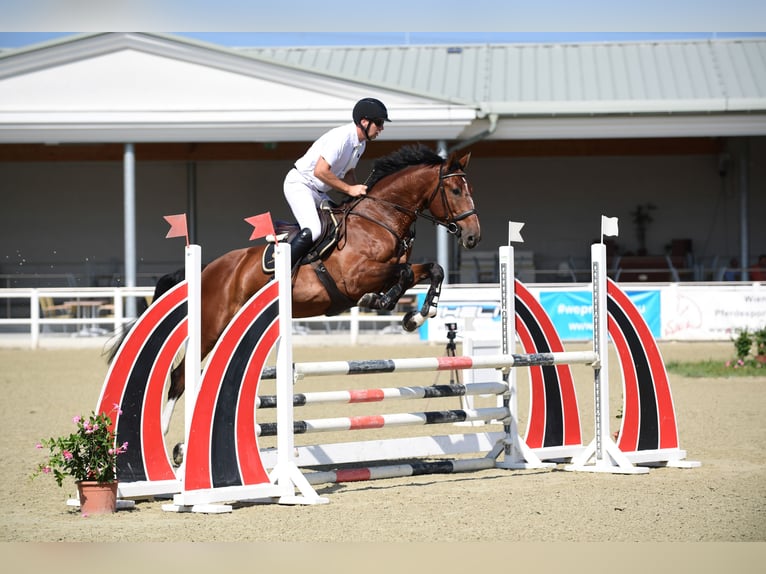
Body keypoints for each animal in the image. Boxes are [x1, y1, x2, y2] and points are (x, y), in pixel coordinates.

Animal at [109, 143, 480, 432]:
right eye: (456, 191)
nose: (473, 237)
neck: (380, 218)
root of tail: (207, 269)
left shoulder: (394, 269)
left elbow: (433, 270)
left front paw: (418, 315)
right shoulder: (355, 278)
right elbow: (400, 276)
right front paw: (383, 302)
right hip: (210, 327)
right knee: (180, 376)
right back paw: (168, 442)